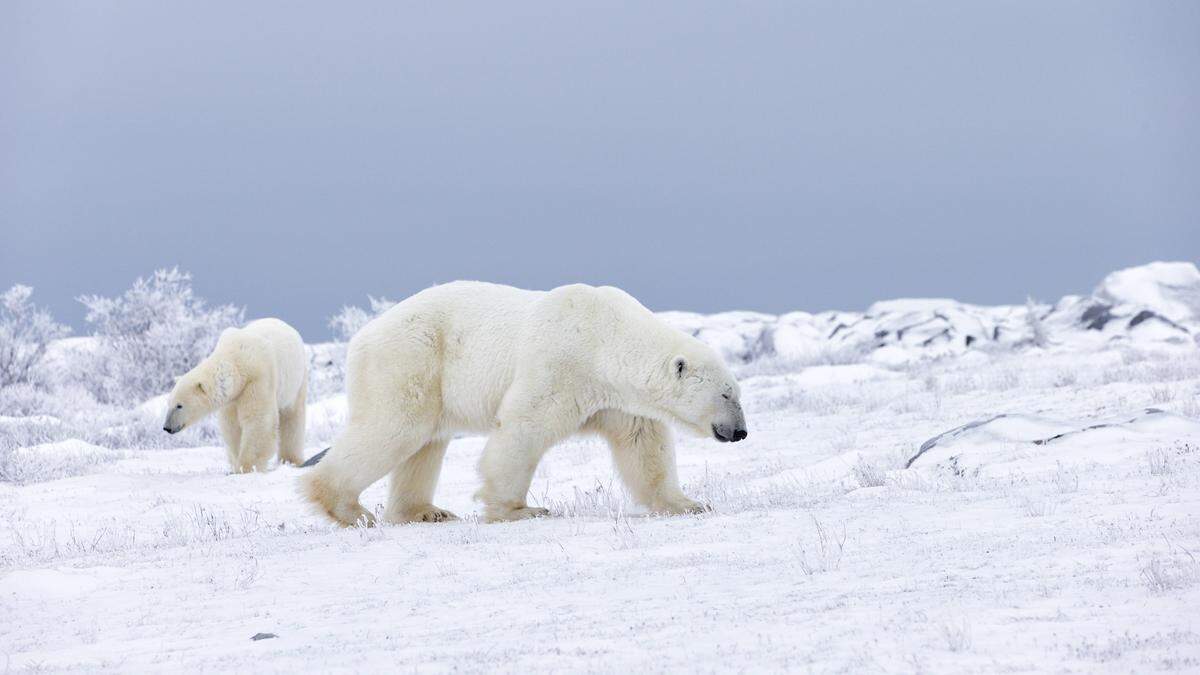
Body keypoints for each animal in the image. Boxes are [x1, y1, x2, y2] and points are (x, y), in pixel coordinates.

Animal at [162, 317, 307, 470]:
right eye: (169, 403)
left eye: (179, 405)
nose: (167, 427)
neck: (239, 357)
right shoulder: (232, 397)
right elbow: (231, 426)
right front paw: (236, 463)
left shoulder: (258, 379)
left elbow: (258, 420)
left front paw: (246, 467)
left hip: (296, 381)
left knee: (293, 417)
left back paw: (291, 460)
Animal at [304, 278, 744, 526]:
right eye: (725, 393)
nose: (740, 431)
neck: (605, 337)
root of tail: (362, 336)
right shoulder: (561, 363)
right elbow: (524, 427)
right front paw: (517, 509)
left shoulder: (618, 399)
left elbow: (643, 445)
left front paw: (687, 503)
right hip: (410, 359)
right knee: (395, 428)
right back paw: (347, 508)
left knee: (424, 443)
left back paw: (425, 512)